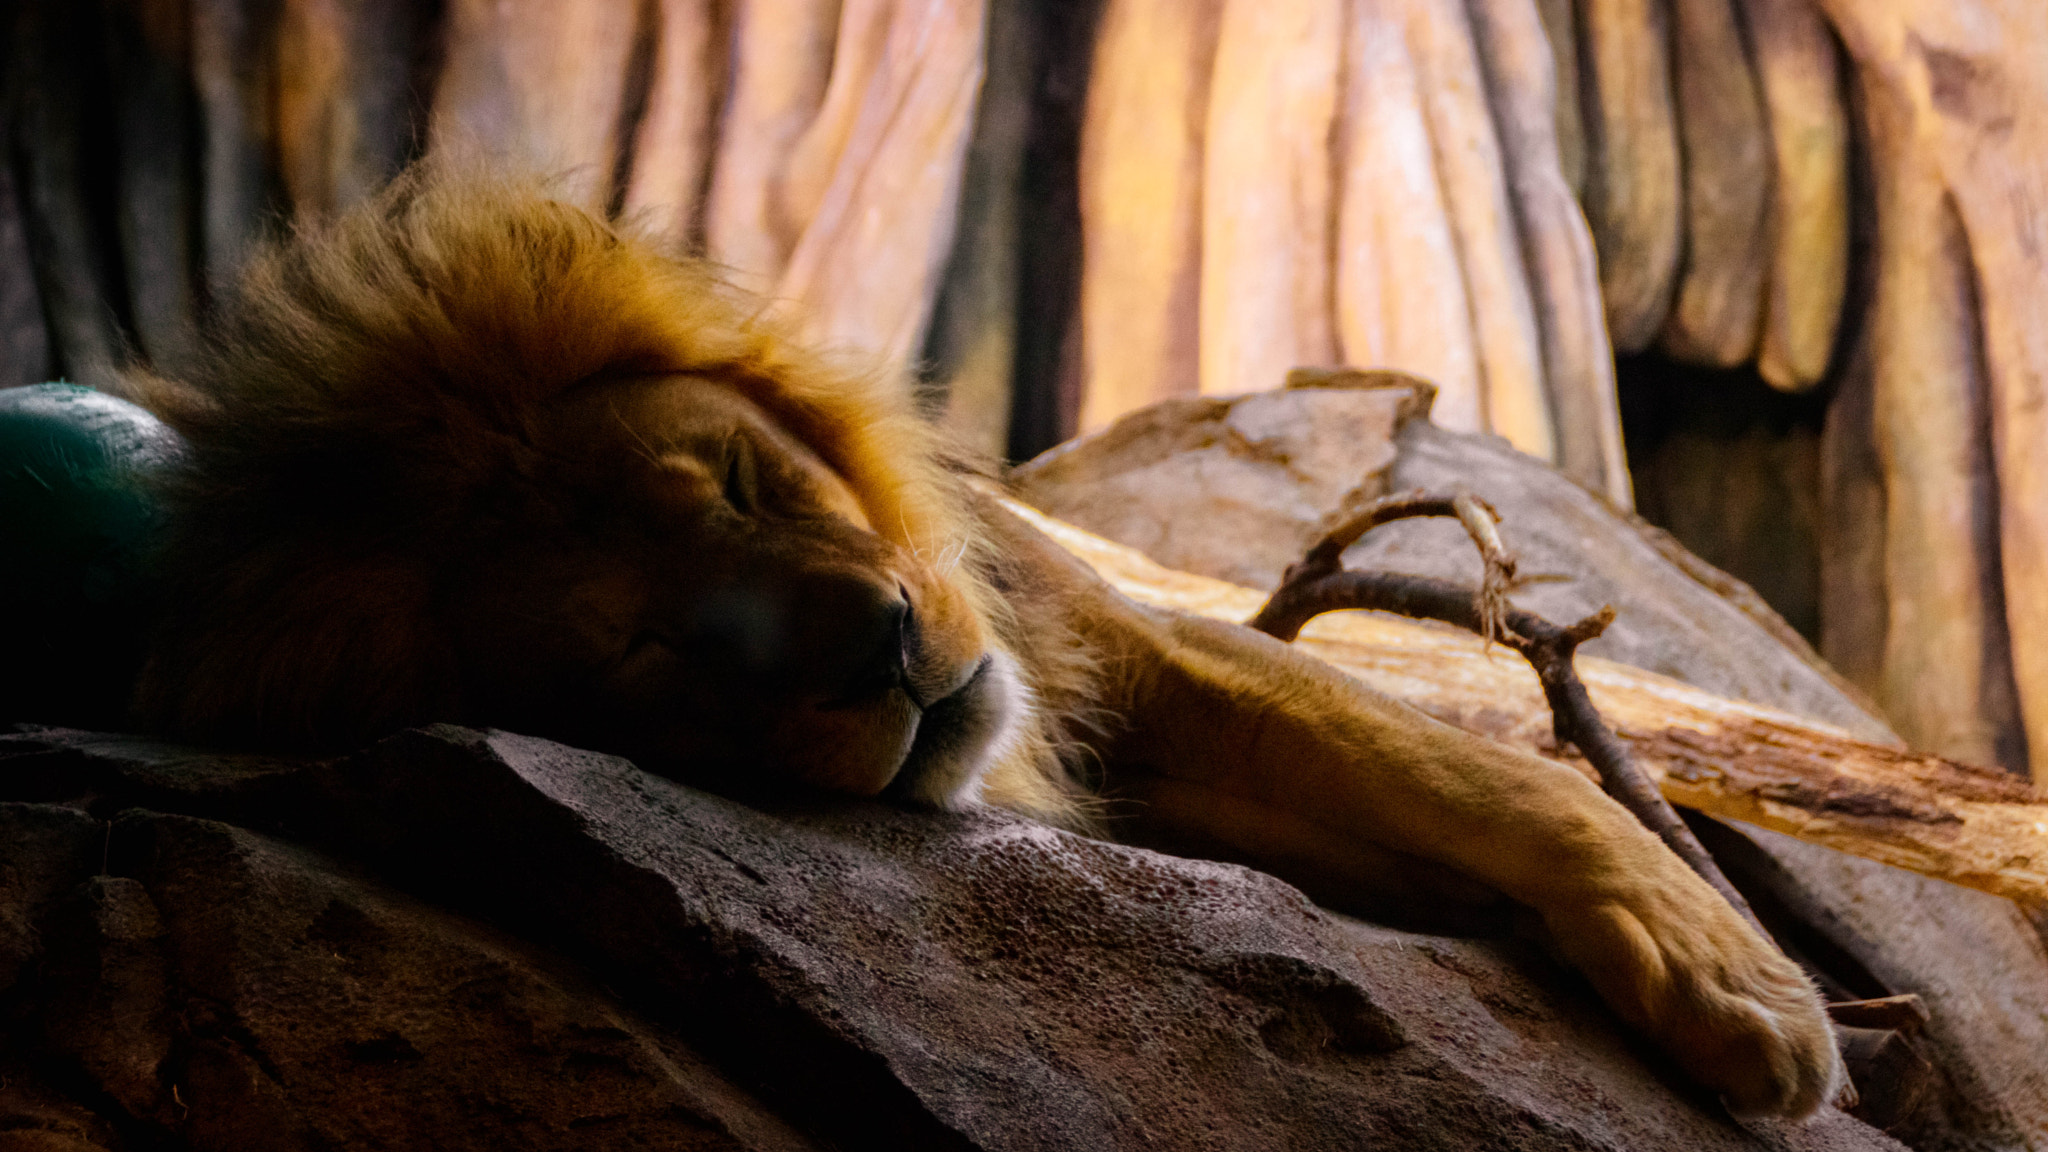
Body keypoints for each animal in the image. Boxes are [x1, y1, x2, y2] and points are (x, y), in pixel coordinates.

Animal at [126, 172, 1844, 1120]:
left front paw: (1728, 981)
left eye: (741, 481)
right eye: (664, 652)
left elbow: (1487, 780)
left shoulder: (1112, 650)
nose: (886, 646)